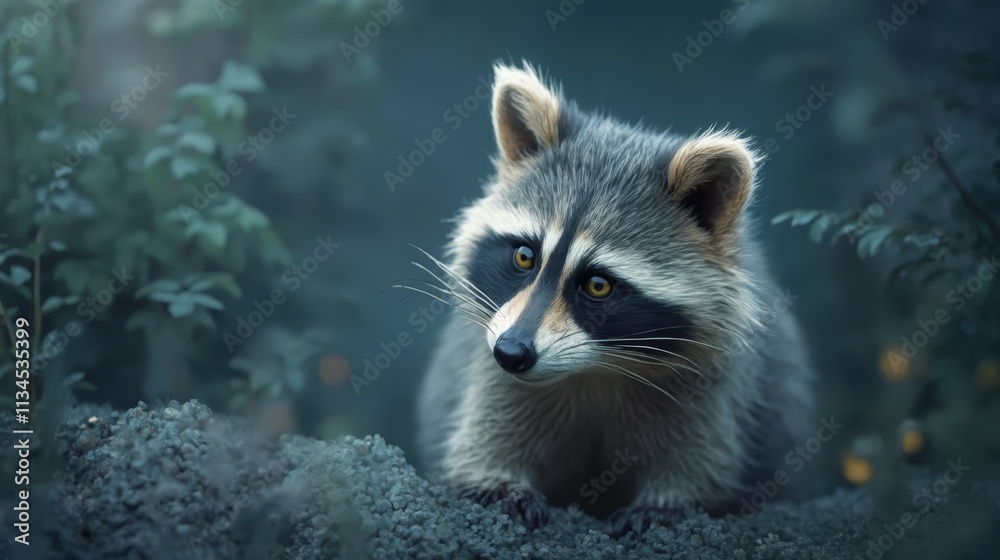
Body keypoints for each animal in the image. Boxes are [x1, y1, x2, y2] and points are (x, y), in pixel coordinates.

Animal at [413, 62, 813, 535]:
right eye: (525, 256)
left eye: (598, 285)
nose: (511, 352)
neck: (597, 367)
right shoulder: (491, 367)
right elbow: (483, 440)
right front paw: (496, 482)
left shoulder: (715, 384)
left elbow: (703, 461)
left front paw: (670, 503)